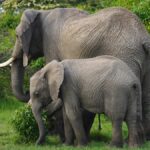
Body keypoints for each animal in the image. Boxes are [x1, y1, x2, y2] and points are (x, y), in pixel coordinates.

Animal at [0, 7, 150, 138]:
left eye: (17, 35)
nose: (27, 92)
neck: (41, 12)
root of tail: (143, 36)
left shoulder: (49, 43)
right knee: (144, 97)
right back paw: (144, 139)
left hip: (125, 54)